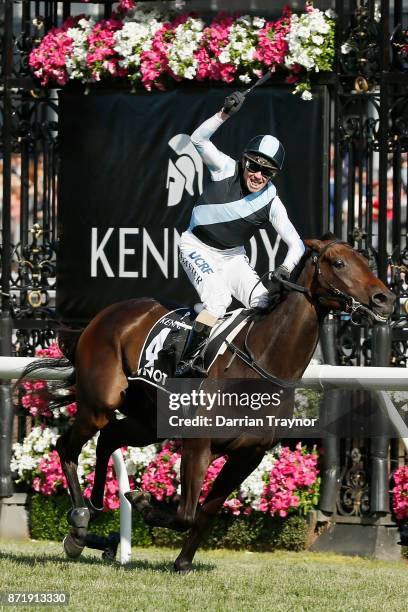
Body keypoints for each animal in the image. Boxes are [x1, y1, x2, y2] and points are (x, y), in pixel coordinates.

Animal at [19, 237, 396, 572]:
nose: (386, 298)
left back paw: (94, 518)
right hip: (100, 402)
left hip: (148, 421)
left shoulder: (248, 455)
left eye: (366, 261)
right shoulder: (198, 443)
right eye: (340, 262)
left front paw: (183, 562)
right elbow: (186, 513)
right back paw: (80, 521)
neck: (262, 361)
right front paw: (142, 501)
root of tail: (106, 314)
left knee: (108, 439)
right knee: (67, 445)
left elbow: (206, 512)